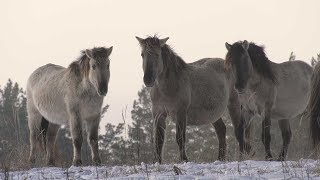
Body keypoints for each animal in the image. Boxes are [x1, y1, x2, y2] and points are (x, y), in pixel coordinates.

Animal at [135, 35, 242, 163]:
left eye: (157, 54)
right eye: (142, 54)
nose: (148, 79)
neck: (168, 86)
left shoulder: (180, 112)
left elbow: (180, 137)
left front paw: (184, 159)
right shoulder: (158, 113)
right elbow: (158, 140)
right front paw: (157, 161)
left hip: (234, 103)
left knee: (239, 129)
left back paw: (243, 155)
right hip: (213, 113)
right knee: (221, 130)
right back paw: (220, 158)